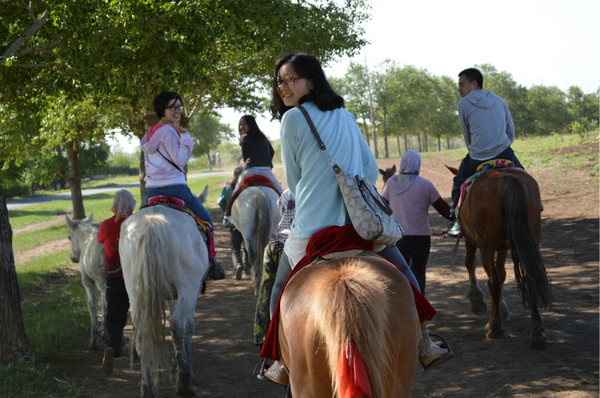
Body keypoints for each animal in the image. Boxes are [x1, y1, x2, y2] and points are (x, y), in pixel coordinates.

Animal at [66, 215, 107, 352]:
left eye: (69, 237)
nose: (72, 258)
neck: (85, 242)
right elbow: (100, 304)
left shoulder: (87, 280)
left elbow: (92, 306)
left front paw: (94, 338)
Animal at [118, 204, 210, 396]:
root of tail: (153, 222)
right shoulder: (192, 291)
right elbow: (188, 326)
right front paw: (185, 368)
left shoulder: (170, 295)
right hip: (188, 288)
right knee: (177, 324)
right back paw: (184, 382)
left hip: (135, 292)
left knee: (140, 334)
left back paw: (147, 388)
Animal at [448, 166, 552, 350]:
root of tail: (506, 178)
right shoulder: (503, 247)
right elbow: (502, 274)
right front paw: (503, 309)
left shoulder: (471, 240)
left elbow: (471, 263)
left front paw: (476, 299)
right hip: (528, 238)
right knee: (530, 278)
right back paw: (537, 332)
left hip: (486, 246)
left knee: (493, 282)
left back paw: (494, 327)